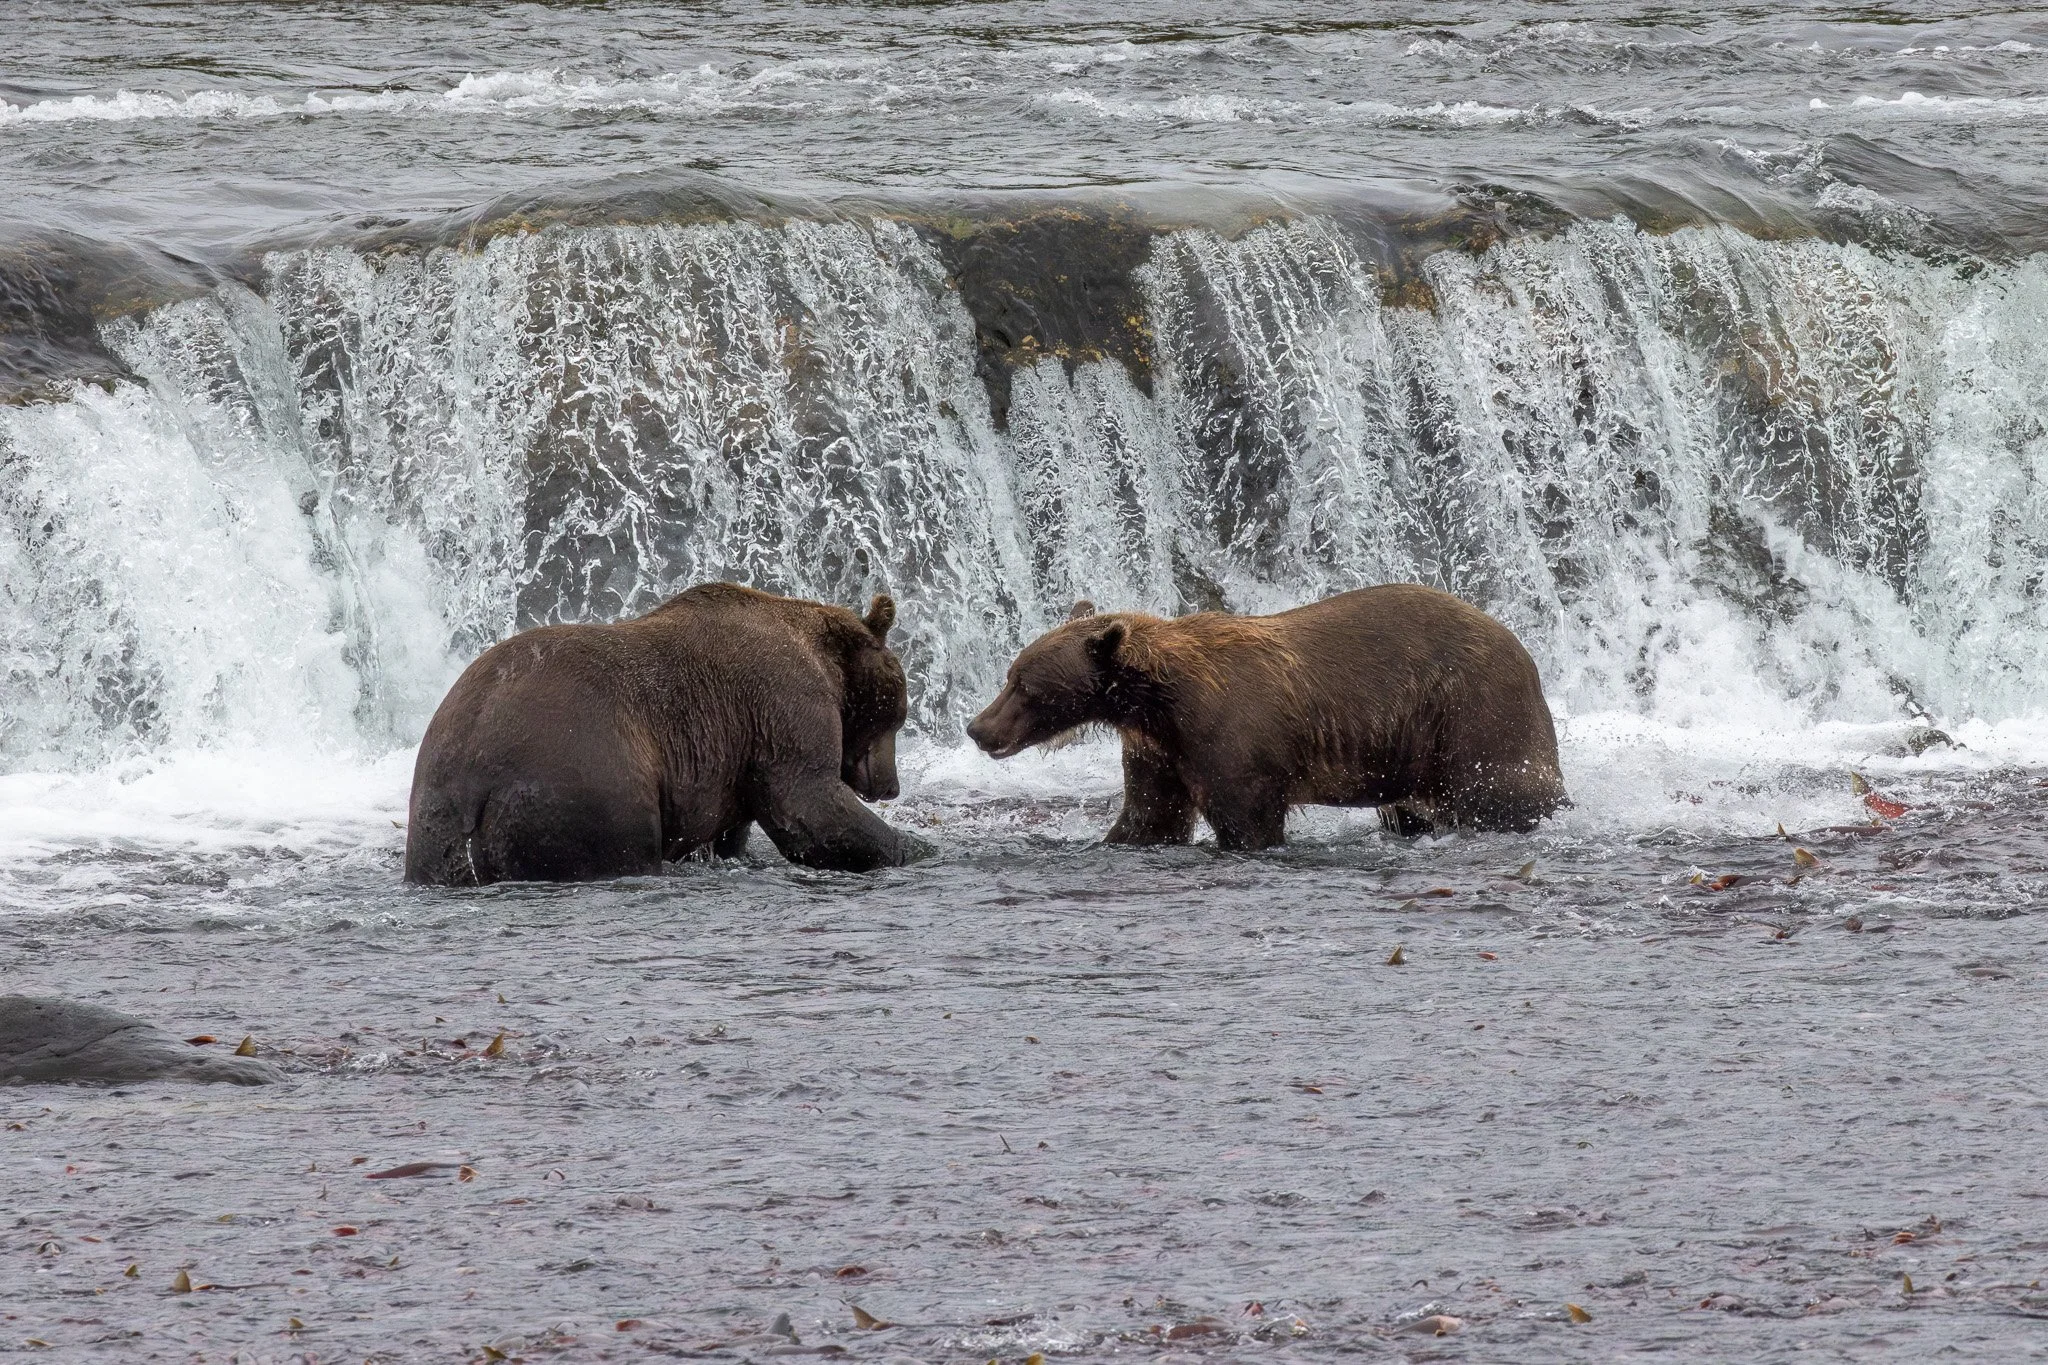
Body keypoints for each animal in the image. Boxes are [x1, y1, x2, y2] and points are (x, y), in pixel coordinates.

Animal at [404, 583, 926, 884]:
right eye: (897, 718)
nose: (890, 785)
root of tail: (475, 775)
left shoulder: (732, 756)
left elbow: (734, 829)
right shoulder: (782, 706)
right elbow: (809, 806)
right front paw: (915, 847)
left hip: (436, 808)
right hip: (583, 783)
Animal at [965, 584, 1565, 850]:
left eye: (1024, 685)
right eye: (1010, 674)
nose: (977, 727)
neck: (1161, 701)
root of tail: (1520, 648)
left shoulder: (1232, 739)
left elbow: (1245, 818)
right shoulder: (1158, 749)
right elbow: (1149, 814)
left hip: (1473, 714)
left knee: (1496, 793)